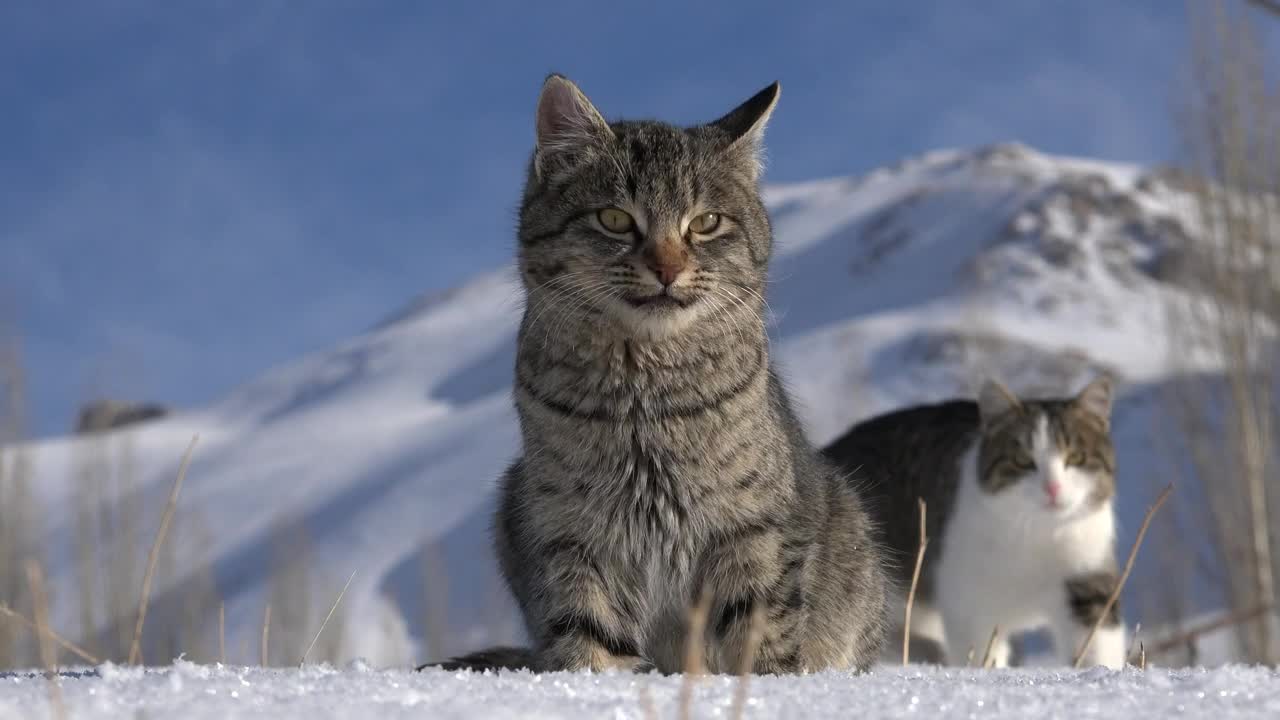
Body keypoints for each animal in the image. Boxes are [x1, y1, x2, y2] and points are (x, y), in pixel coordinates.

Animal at [424, 77, 885, 671]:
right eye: (615, 219)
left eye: (706, 223)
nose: (668, 267)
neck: (644, 389)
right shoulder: (571, 533)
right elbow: (587, 639)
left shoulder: (750, 529)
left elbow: (759, 637)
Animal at [819, 376, 1121, 666]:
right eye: (1022, 460)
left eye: (1076, 457)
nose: (1053, 488)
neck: (1037, 534)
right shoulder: (970, 605)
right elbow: (980, 655)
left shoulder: (1087, 579)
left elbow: (1096, 646)